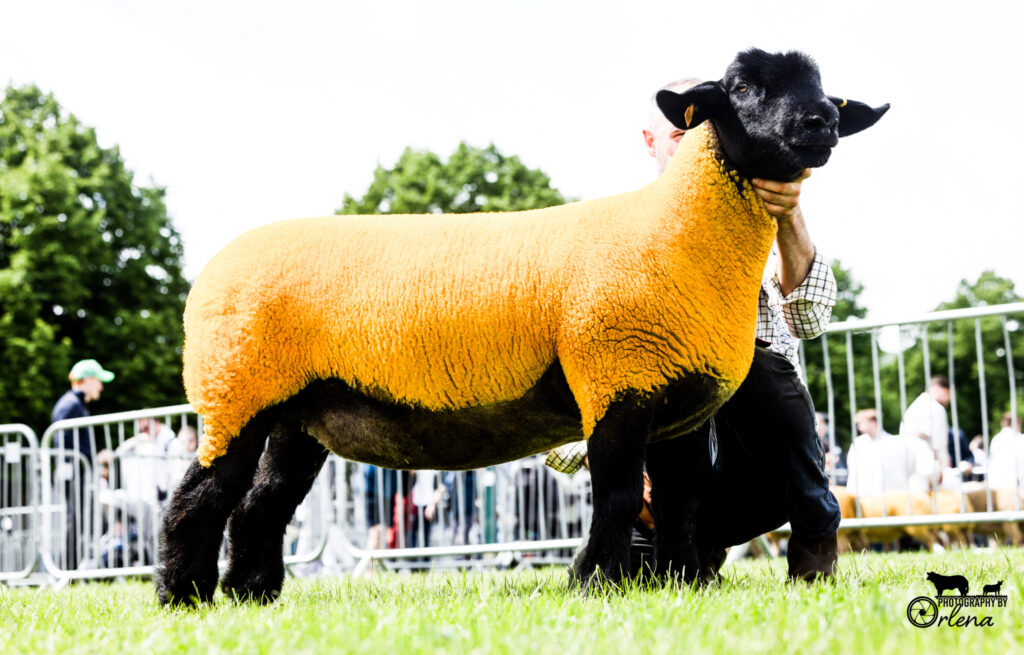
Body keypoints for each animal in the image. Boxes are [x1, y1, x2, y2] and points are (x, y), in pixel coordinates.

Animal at [157, 48, 888, 605]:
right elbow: (619, 494)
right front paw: (593, 583)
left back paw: (252, 595)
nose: (821, 120)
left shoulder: (680, 403)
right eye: (739, 87)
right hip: (235, 389)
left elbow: (682, 500)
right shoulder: (614, 380)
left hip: (297, 412)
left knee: (260, 504)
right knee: (200, 495)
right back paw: (182, 598)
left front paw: (682, 585)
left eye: (824, 89)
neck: (673, 230)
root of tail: (212, 271)